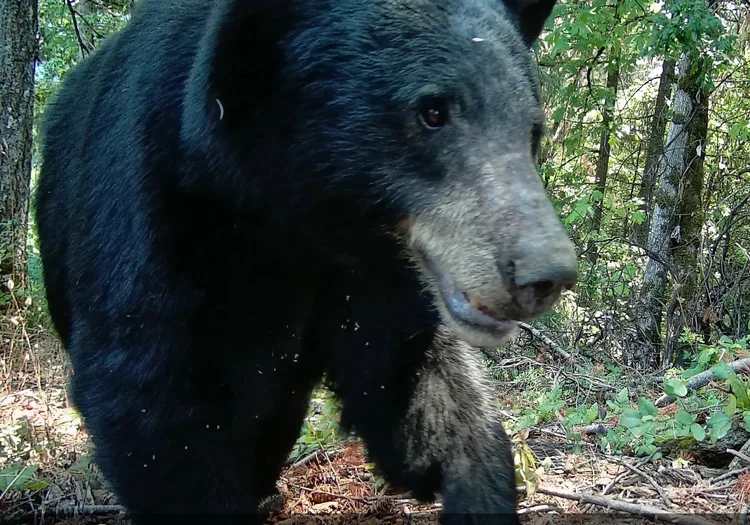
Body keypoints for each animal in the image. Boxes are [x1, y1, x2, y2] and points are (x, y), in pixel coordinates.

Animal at [35, 0, 578, 523]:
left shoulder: (379, 277)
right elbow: (151, 399)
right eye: (432, 111)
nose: (547, 274)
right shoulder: (161, 210)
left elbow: (420, 396)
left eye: (532, 130)